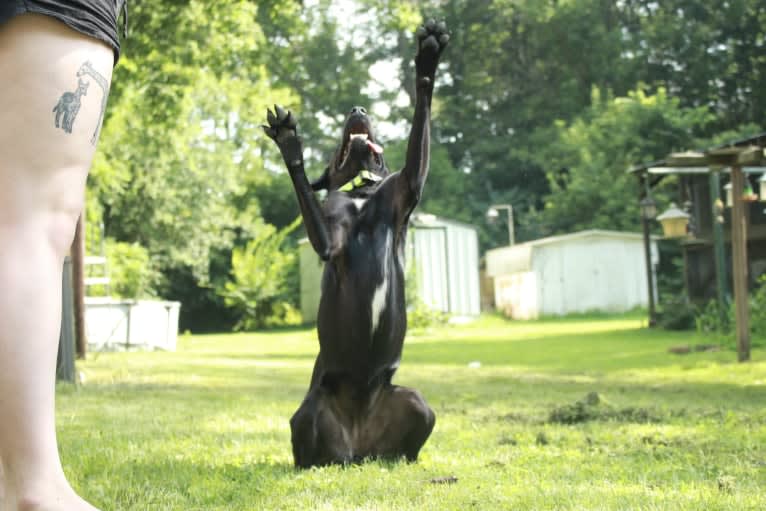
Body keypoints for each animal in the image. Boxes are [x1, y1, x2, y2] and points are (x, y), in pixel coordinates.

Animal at [266, 19, 450, 468]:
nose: (358, 110)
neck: (361, 192)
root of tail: (359, 446)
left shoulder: (407, 187)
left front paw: (428, 60)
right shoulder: (328, 240)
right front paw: (289, 144)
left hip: (417, 404)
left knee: (407, 438)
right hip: (310, 412)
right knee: (310, 448)